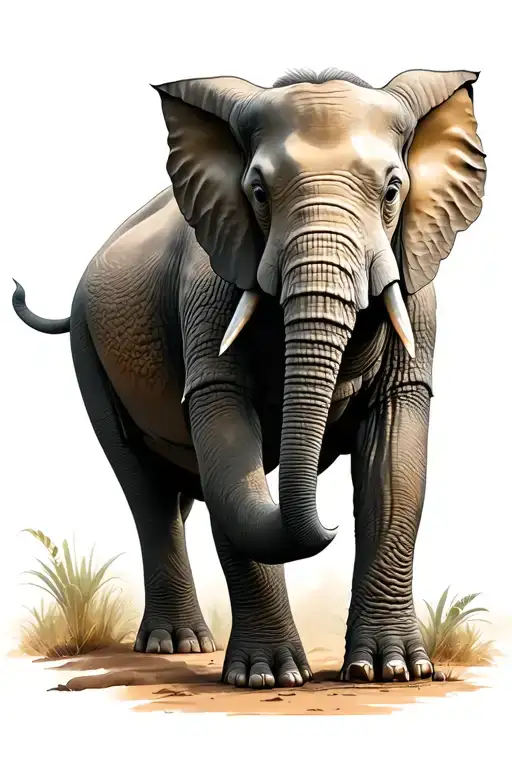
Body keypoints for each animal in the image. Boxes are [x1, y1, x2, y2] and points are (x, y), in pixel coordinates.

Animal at [12, 66, 486, 688]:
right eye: (258, 193)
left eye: (392, 191)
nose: (328, 525)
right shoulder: (208, 289)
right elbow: (226, 444)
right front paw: (269, 679)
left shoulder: (415, 289)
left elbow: (394, 466)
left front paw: (393, 672)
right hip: (87, 350)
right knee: (148, 490)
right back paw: (179, 646)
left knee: (180, 493)